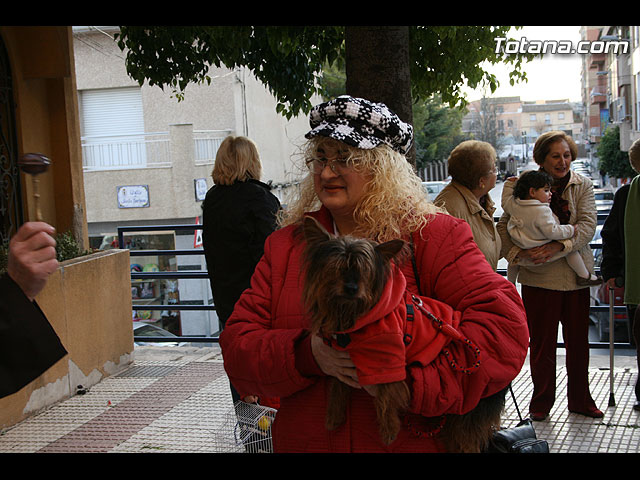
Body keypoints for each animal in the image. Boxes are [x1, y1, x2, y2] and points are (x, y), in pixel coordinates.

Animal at [300, 218, 504, 450]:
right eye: (336, 268)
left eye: (365, 271)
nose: (352, 288)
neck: (352, 313)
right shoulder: (340, 356)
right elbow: (337, 384)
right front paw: (334, 417)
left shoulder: (389, 359)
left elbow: (385, 397)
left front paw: (389, 431)